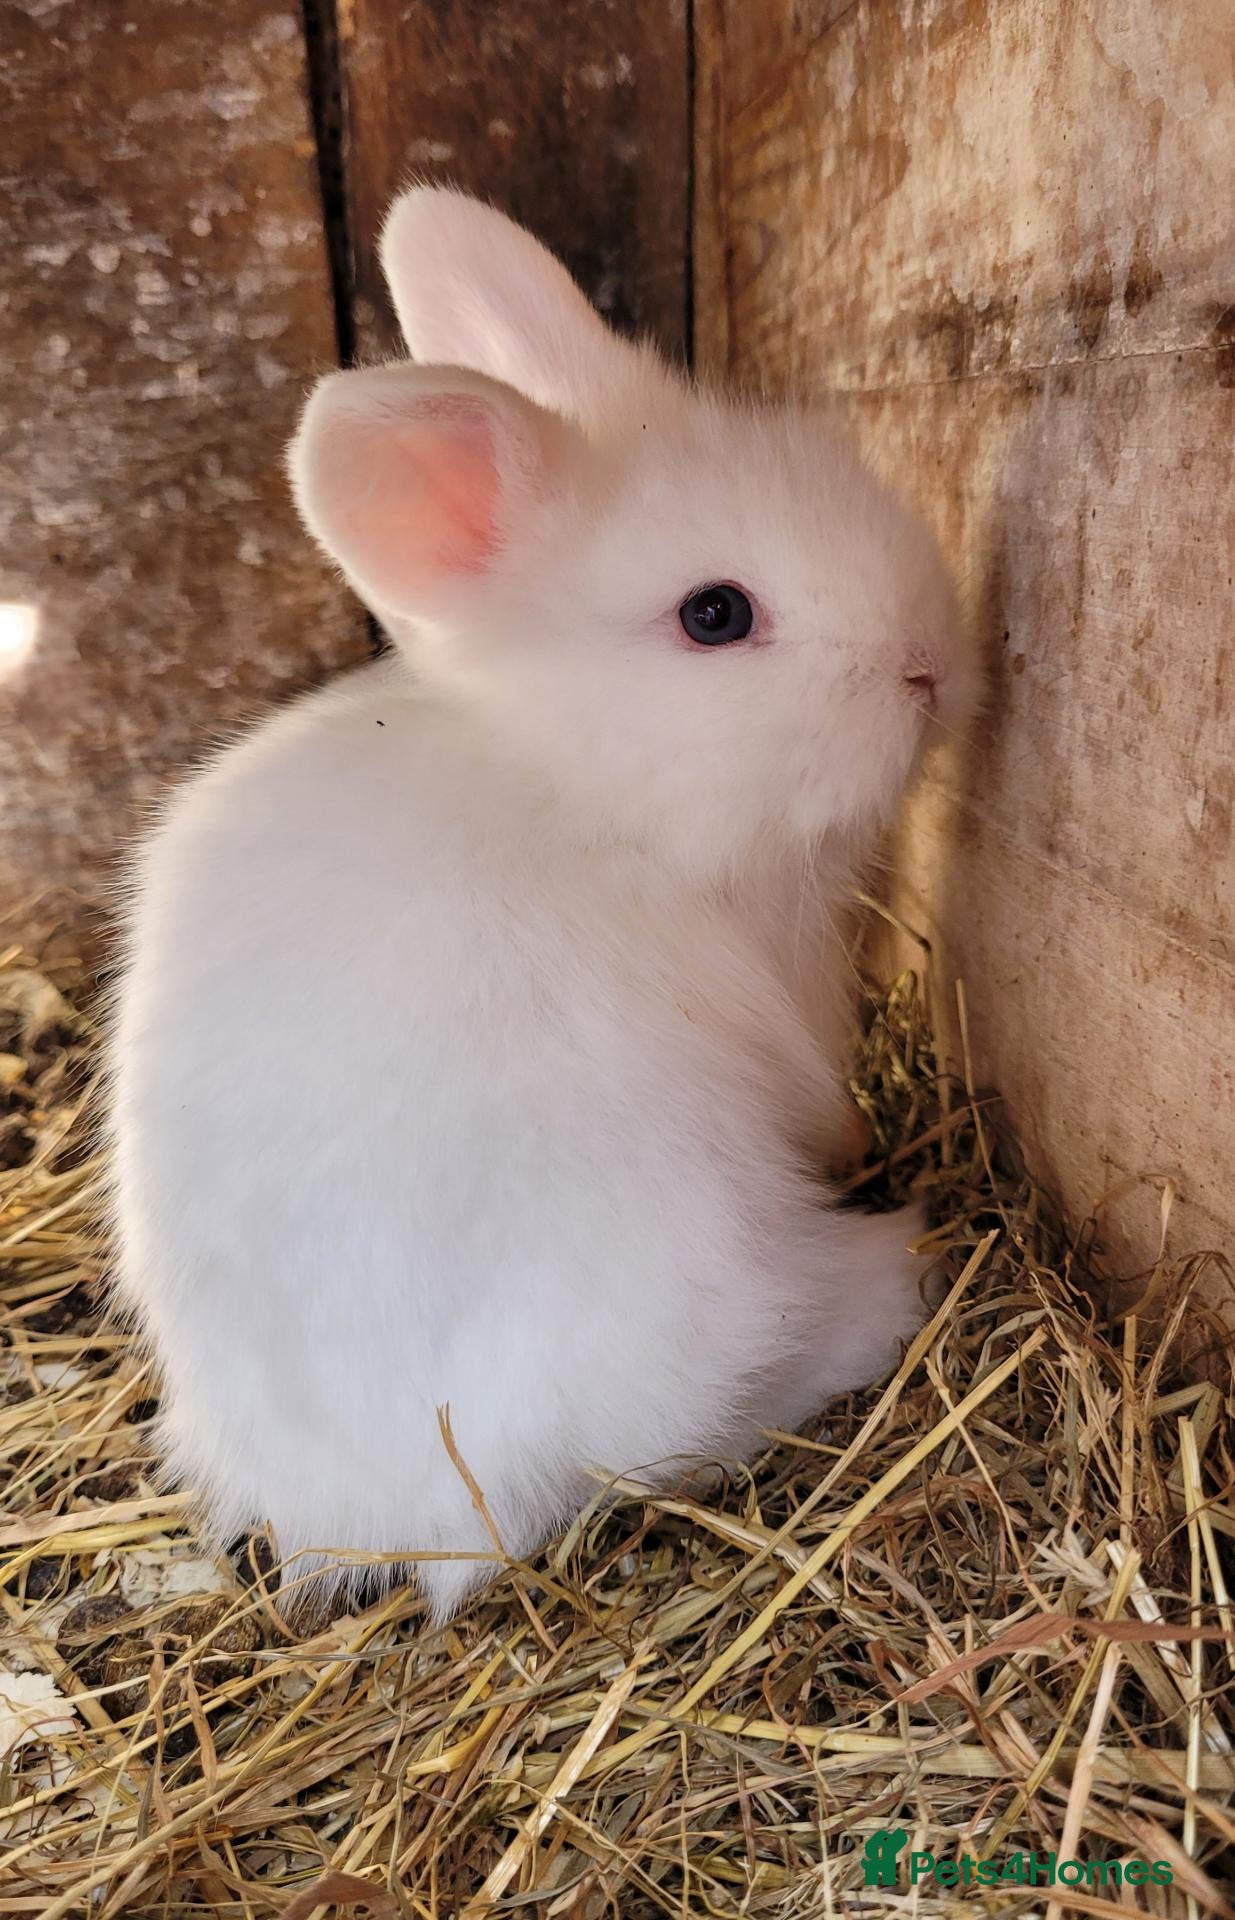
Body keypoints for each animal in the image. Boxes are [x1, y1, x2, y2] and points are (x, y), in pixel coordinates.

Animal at [108, 186, 976, 1621]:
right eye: (714, 614)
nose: (929, 663)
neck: (580, 775)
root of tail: (390, 1524)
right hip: (702, 1276)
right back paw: (898, 1267)